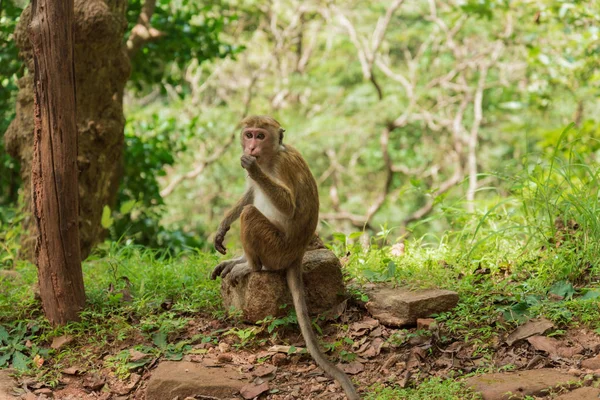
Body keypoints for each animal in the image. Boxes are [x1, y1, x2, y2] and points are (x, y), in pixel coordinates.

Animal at [212, 116, 360, 400]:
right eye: (249, 134)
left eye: (260, 136)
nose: (251, 148)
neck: (270, 157)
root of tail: (297, 254)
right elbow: (250, 193)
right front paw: (223, 225)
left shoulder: (282, 166)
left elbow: (288, 206)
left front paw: (253, 169)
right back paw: (238, 261)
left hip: (276, 249)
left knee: (250, 215)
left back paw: (250, 266)